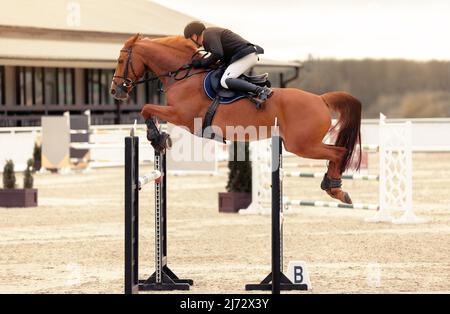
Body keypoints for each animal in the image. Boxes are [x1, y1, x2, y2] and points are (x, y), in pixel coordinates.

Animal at [110, 33, 362, 204]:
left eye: (121, 61)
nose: (115, 91)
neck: (183, 76)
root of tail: (321, 99)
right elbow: (149, 110)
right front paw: (160, 138)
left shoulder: (182, 114)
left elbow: (146, 108)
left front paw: (156, 138)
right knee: (337, 153)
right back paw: (334, 187)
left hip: (302, 145)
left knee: (338, 153)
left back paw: (335, 189)